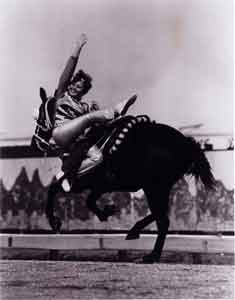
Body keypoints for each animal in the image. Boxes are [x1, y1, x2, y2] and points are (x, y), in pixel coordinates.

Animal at [31, 88, 215, 264]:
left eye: (40, 115)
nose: (35, 142)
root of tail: (186, 144)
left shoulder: (81, 182)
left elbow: (57, 190)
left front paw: (55, 221)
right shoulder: (98, 186)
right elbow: (86, 199)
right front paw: (106, 212)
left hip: (154, 187)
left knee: (163, 219)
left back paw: (151, 256)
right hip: (158, 187)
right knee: (161, 214)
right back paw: (135, 232)